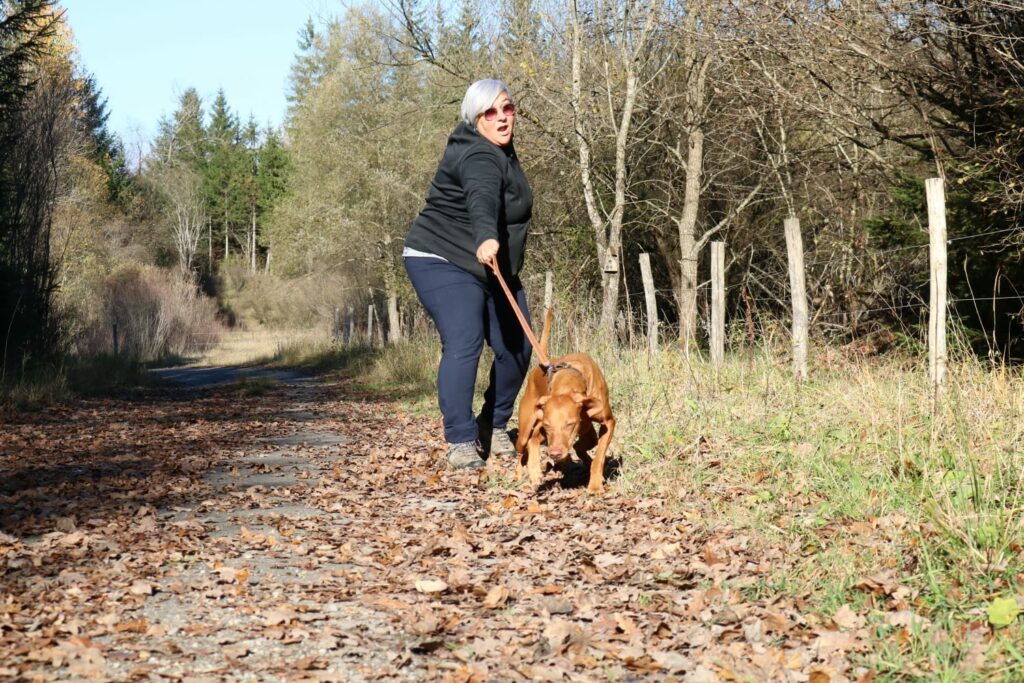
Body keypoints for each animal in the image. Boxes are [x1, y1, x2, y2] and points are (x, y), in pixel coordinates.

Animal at [512, 313, 614, 493]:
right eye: (548, 425)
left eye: (570, 424)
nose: (555, 454)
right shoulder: (541, 427)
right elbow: (533, 443)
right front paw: (535, 472)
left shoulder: (608, 422)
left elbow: (598, 456)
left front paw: (595, 485)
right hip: (525, 431)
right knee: (524, 447)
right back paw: (520, 472)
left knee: (586, 443)